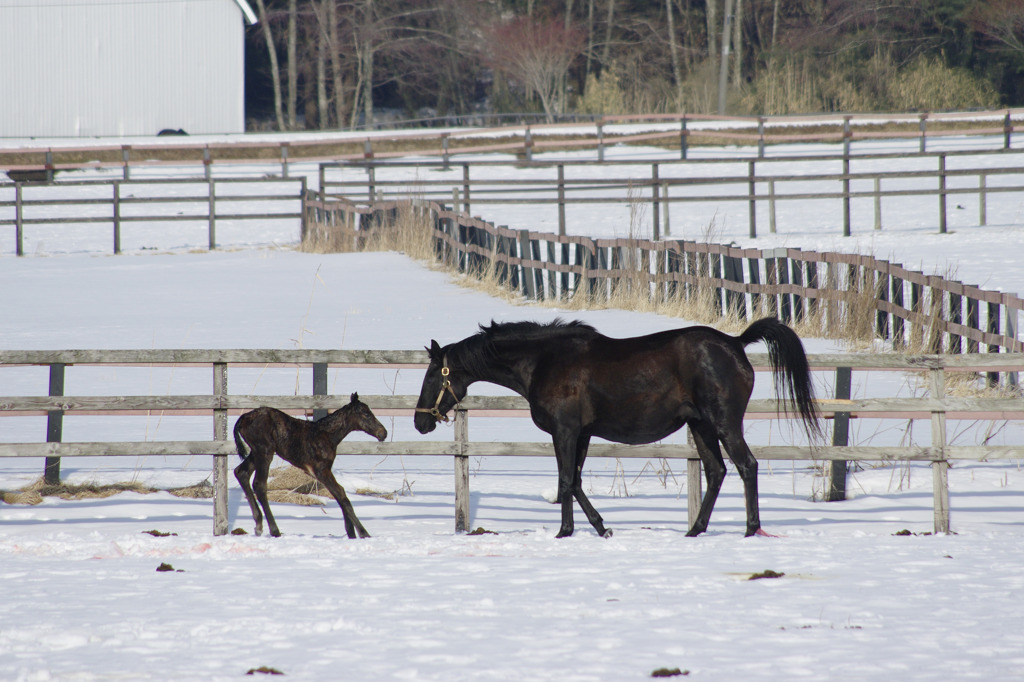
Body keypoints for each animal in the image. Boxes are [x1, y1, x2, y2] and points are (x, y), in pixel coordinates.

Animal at [232, 393, 387, 536]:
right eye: (365, 413)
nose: (383, 433)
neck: (329, 437)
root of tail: (242, 419)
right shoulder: (320, 470)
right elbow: (341, 494)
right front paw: (363, 533)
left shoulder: (323, 471)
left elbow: (339, 493)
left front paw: (351, 532)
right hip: (264, 451)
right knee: (259, 484)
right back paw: (274, 530)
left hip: (256, 452)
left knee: (241, 472)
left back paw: (258, 525)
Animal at [411, 319, 819, 536]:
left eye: (432, 375)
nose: (419, 421)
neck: (543, 362)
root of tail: (735, 343)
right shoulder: (582, 433)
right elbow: (574, 481)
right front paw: (601, 527)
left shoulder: (565, 431)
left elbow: (565, 481)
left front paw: (565, 531)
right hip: (701, 425)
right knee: (716, 471)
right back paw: (694, 530)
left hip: (723, 422)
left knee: (746, 466)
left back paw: (750, 529)